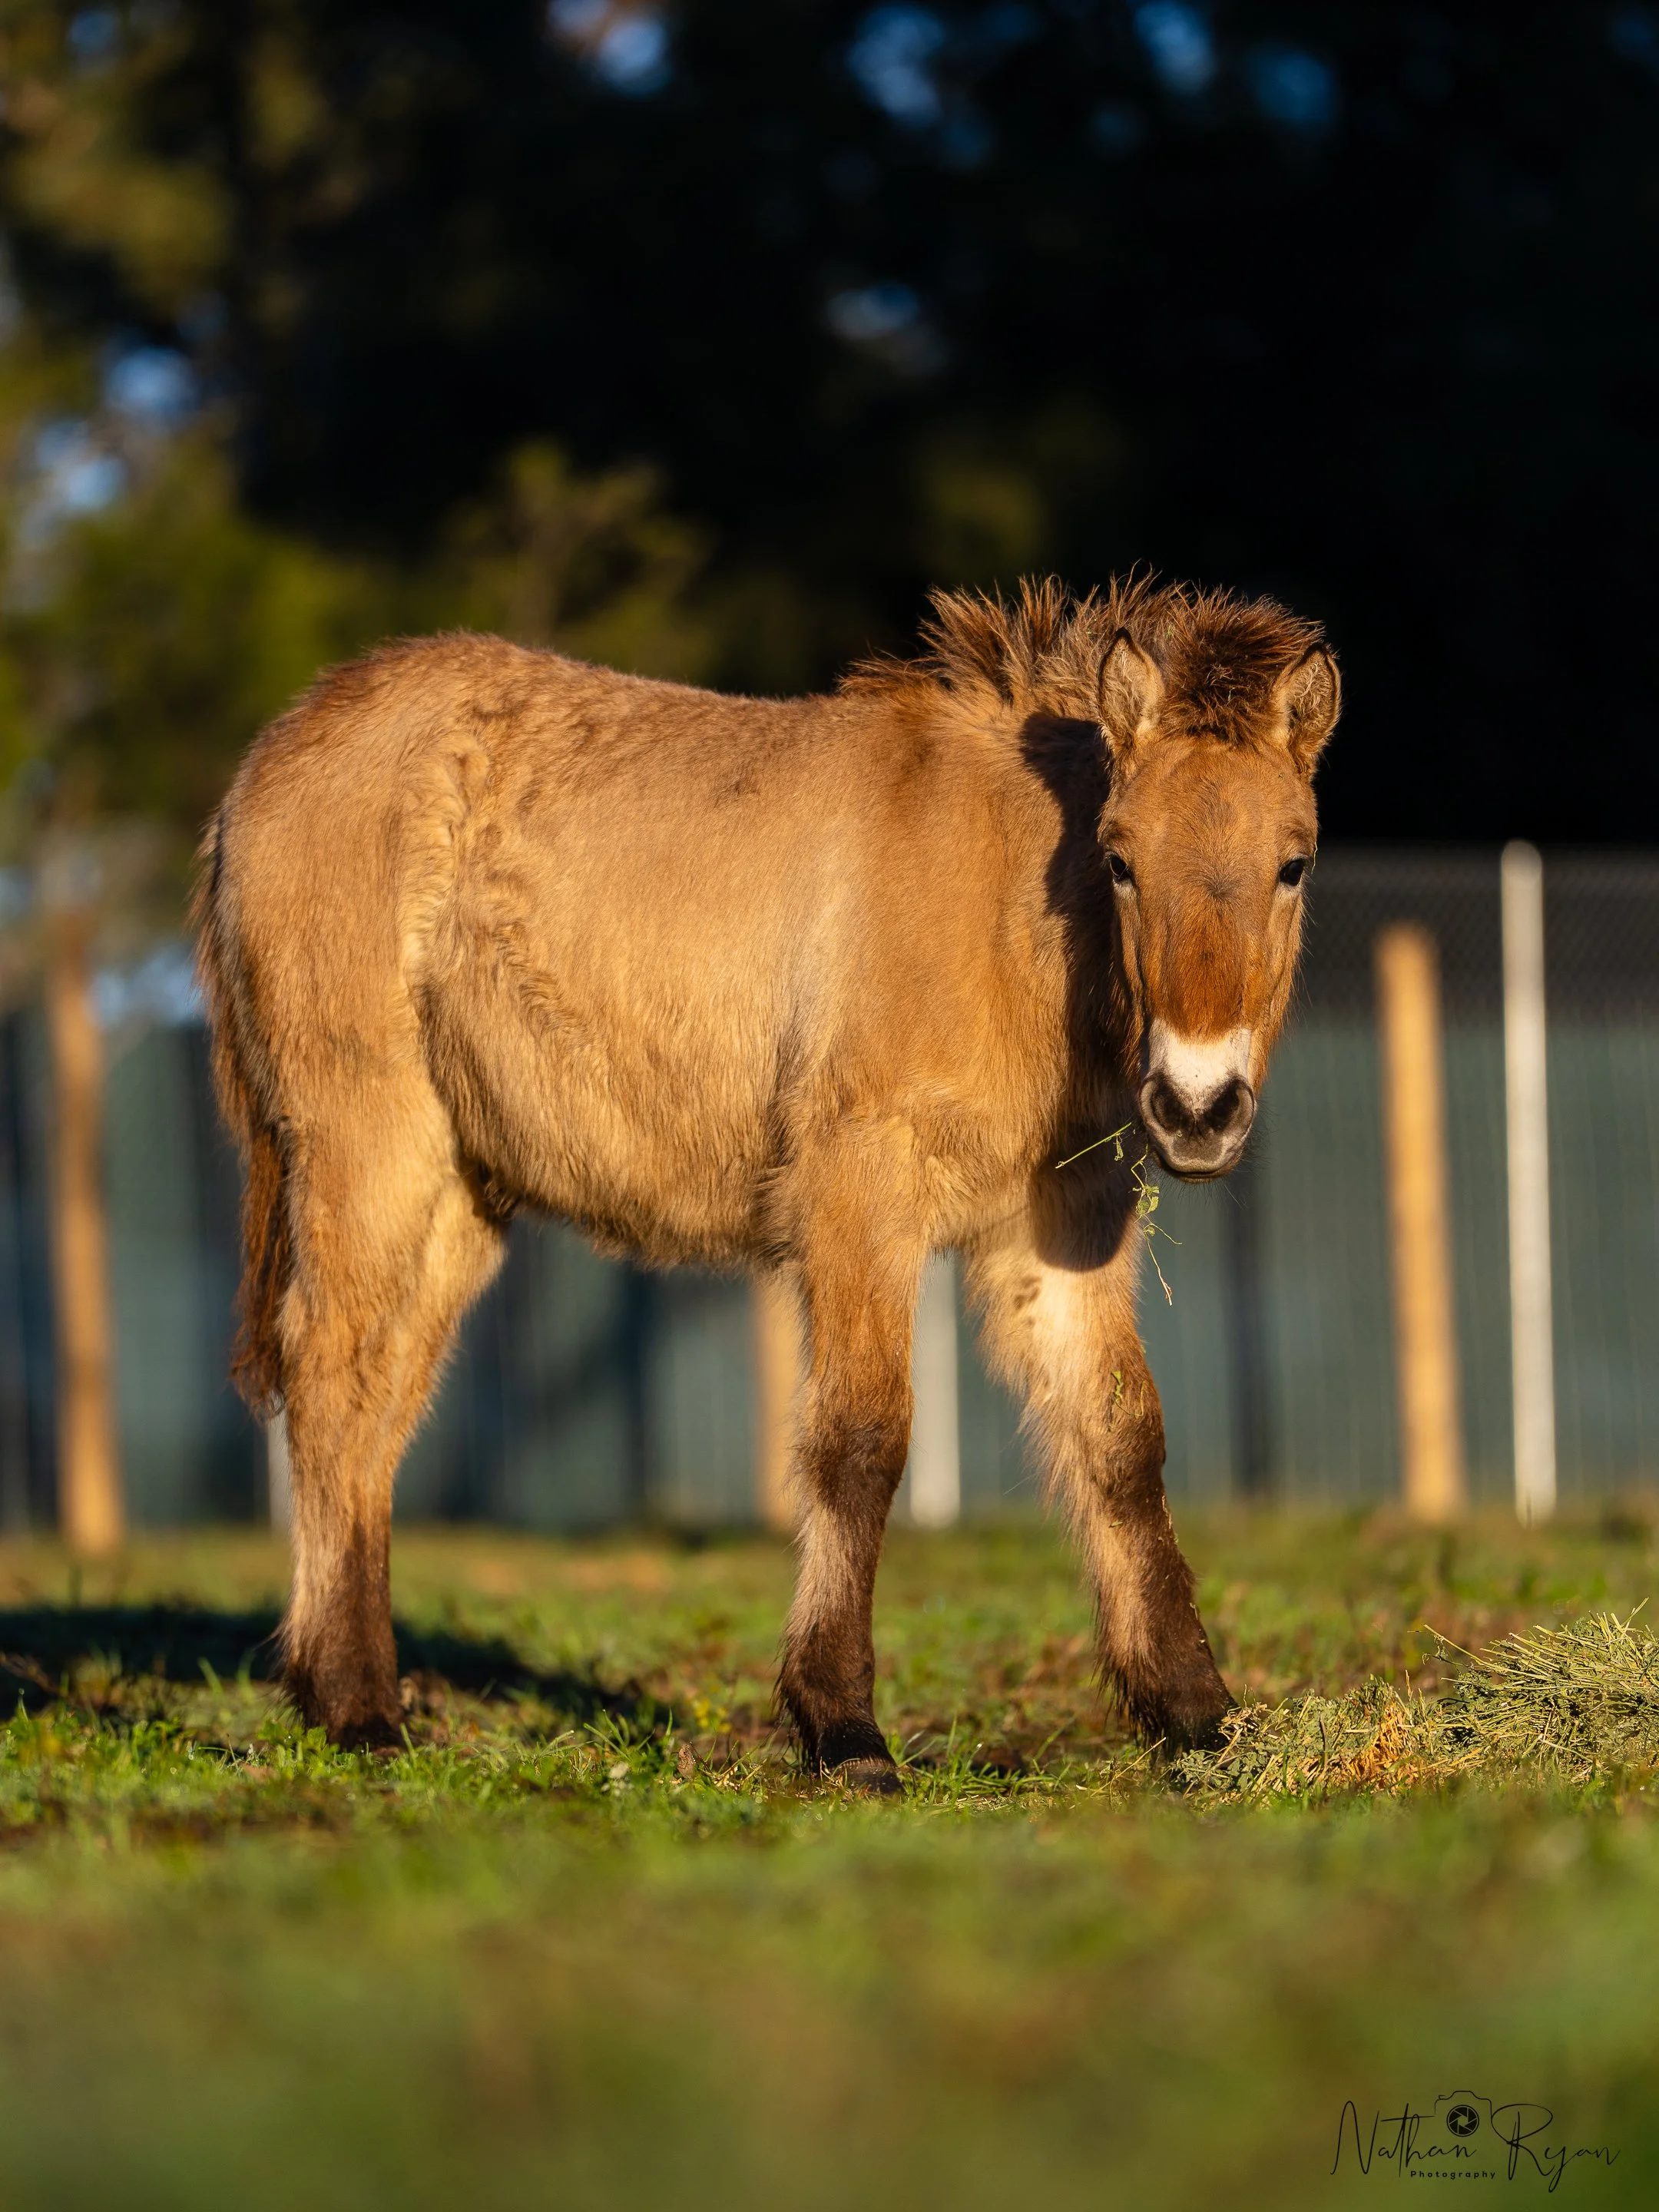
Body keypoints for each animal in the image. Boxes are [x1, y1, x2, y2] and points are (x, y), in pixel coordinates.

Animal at [194, 574, 1339, 1786]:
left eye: (1295, 863)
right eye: (1120, 859)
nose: (1198, 1107)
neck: (1002, 911)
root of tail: (269, 763)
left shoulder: (1061, 1223)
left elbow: (1121, 1443)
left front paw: (1199, 1715)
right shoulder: (858, 1193)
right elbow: (862, 1440)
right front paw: (843, 1729)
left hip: (459, 1186)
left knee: (382, 1396)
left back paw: (344, 1691)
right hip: (368, 1140)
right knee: (330, 1375)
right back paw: (358, 1708)